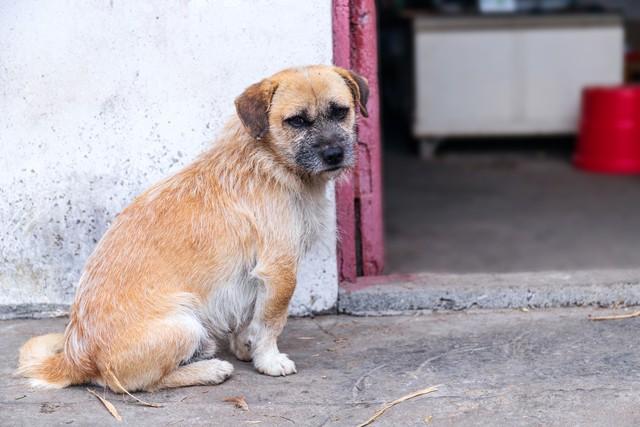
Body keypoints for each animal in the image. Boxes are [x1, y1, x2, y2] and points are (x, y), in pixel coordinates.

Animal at [17, 65, 370, 392]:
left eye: (340, 111)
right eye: (296, 121)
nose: (334, 154)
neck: (268, 160)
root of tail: (75, 359)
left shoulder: (251, 277)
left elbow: (249, 318)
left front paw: (246, 347)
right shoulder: (279, 269)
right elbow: (271, 322)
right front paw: (269, 360)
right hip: (184, 325)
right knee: (141, 383)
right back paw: (210, 370)